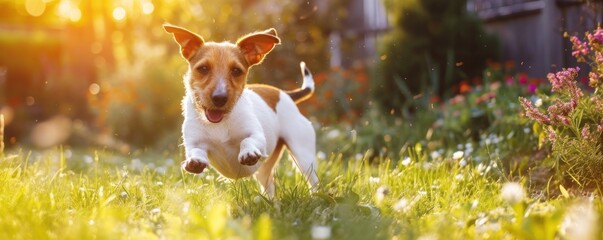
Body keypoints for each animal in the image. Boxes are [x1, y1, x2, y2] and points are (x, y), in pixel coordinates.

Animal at [163, 23, 318, 197]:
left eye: (236, 71)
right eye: (203, 68)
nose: (219, 98)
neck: (220, 122)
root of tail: (286, 94)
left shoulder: (257, 136)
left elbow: (247, 140)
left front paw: (248, 152)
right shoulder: (194, 143)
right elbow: (196, 151)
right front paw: (194, 161)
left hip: (303, 154)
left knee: (313, 180)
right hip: (265, 170)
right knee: (269, 185)